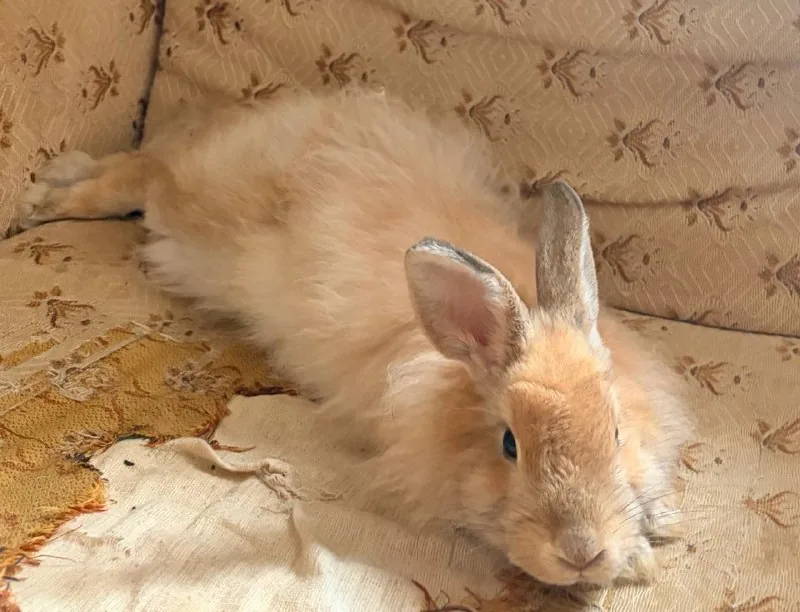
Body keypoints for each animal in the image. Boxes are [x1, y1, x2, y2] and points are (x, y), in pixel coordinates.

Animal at [12, 87, 692, 587]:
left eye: (615, 433)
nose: (581, 550)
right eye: (509, 445)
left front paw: (652, 531)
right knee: (138, 175)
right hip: (191, 204)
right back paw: (40, 201)